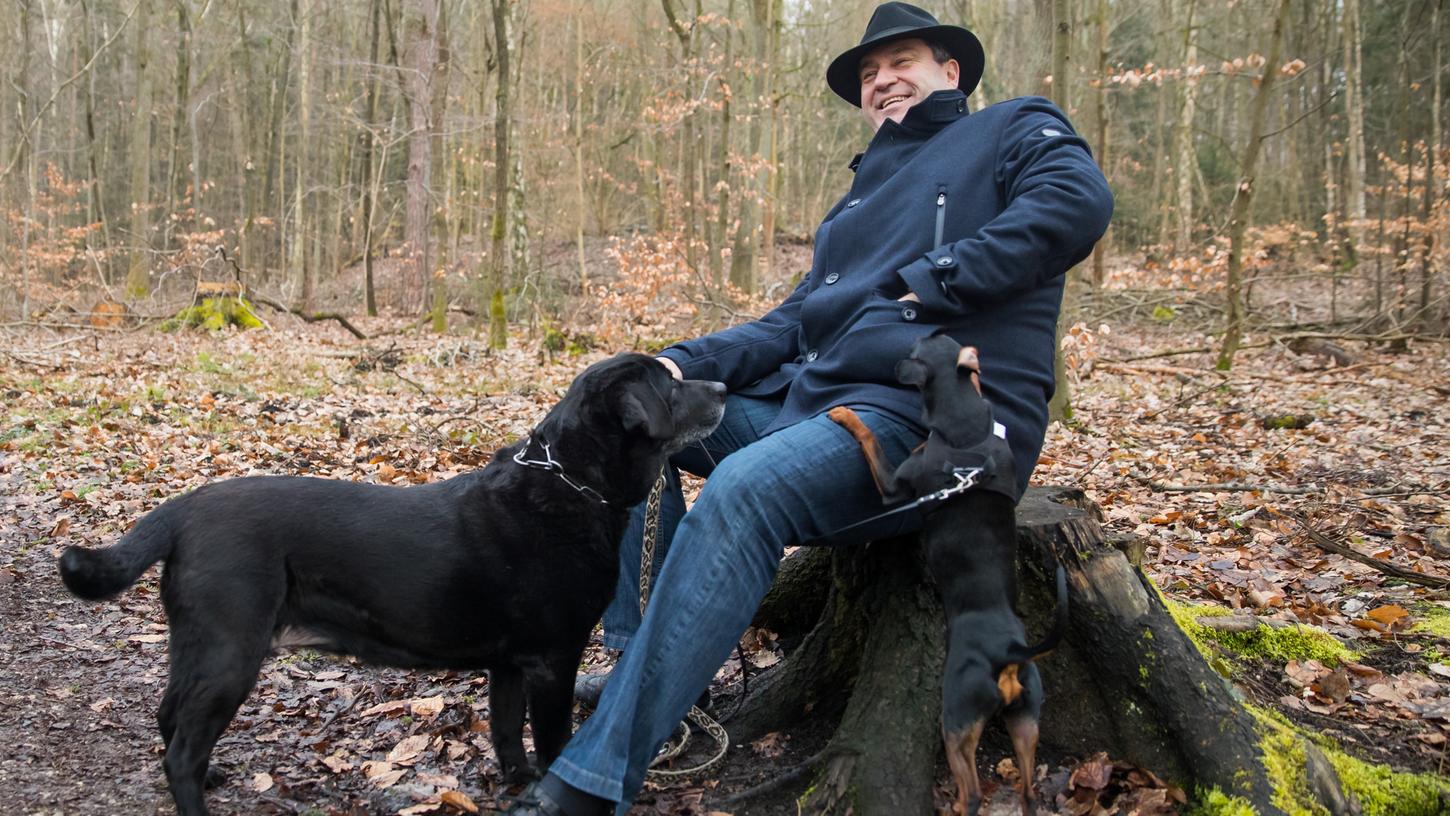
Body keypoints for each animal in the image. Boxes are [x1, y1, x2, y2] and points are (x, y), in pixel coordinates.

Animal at [58, 356, 725, 816]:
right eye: (670, 385)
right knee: (182, 750)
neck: (571, 483)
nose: (721, 388)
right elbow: (553, 739)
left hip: (196, 644)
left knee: (169, 714)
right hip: (230, 650)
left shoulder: (510, 664)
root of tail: (184, 509)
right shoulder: (552, 659)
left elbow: (508, 733)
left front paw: (518, 784)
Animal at [829, 333, 1067, 816]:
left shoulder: (893, 486)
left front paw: (844, 413)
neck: (968, 431)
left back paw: (956, 805)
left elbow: (867, 435)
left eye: (914, 350)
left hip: (956, 715)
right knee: (1029, 792)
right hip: (1026, 718)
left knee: (972, 792)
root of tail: (1010, 651)